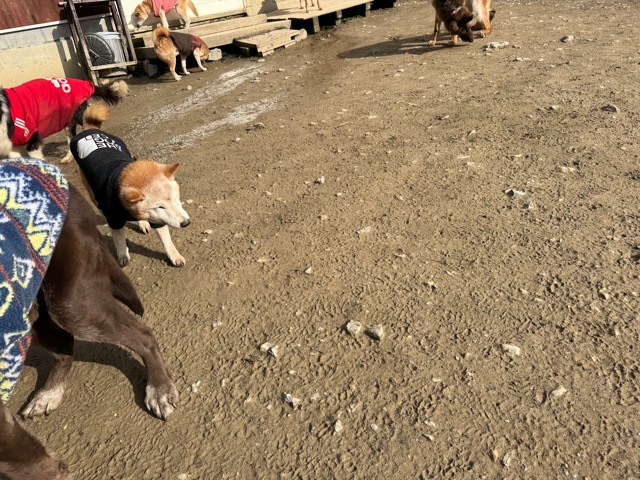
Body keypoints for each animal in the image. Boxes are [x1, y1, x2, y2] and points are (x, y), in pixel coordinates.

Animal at [0, 167, 179, 478]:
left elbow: (36, 465)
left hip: (71, 302)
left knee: (142, 334)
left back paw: (159, 389)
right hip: (39, 308)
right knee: (64, 348)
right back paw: (49, 393)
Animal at [70, 104, 190, 267]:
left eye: (175, 198)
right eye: (160, 207)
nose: (186, 223)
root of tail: (90, 129)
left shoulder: (157, 220)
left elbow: (167, 241)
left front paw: (174, 256)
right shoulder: (114, 220)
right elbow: (119, 241)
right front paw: (123, 256)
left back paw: (143, 223)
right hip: (91, 192)